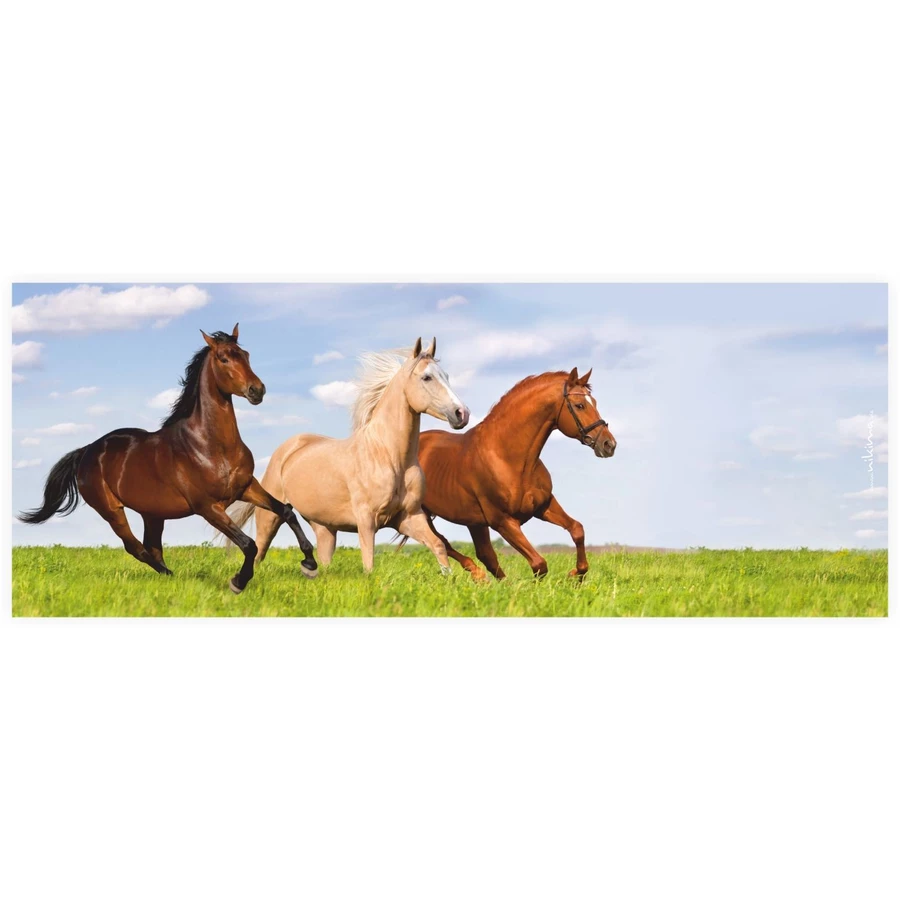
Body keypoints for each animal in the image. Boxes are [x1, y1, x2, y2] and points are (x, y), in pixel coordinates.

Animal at [18, 324, 318, 594]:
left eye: (246, 354)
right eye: (224, 358)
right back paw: (172, 575)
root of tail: (88, 450)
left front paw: (310, 564)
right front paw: (238, 582)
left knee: (152, 547)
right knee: (136, 547)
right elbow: (248, 544)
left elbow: (286, 511)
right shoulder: (208, 506)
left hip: (153, 514)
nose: (257, 390)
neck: (210, 446)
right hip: (111, 510)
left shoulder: (247, 487)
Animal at [226, 337, 470, 573]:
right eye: (427, 377)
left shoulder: (409, 517)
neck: (388, 456)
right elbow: (369, 564)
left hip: (324, 527)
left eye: (446, 376)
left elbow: (438, 546)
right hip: (269, 516)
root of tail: (287, 449)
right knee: (260, 551)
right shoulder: (367, 520)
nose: (462, 413)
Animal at [413, 367, 616, 581]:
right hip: (421, 514)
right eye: (579, 405)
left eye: (594, 403)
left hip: (474, 522)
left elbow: (577, 529)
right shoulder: (503, 521)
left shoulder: (543, 506)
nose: (609, 444)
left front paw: (576, 574)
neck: (508, 457)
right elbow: (539, 563)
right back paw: (479, 576)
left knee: (484, 554)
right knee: (441, 542)